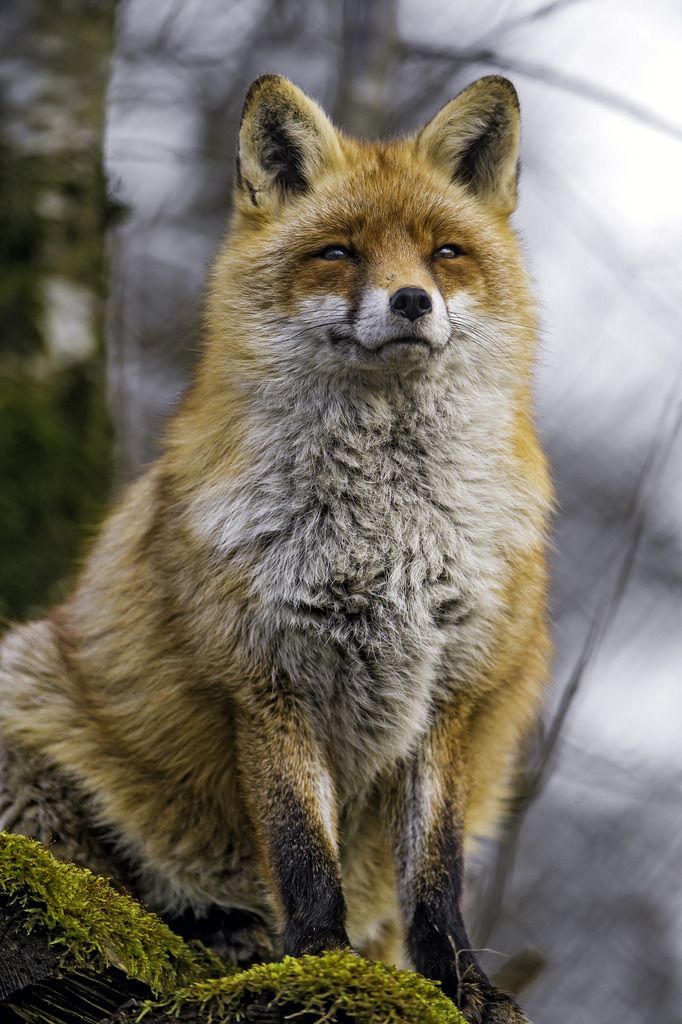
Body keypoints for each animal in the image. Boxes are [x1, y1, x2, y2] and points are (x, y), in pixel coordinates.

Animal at [0, 74, 551, 1022]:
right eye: (338, 253)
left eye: (445, 253)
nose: (412, 301)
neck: (388, 538)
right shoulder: (264, 677)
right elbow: (300, 854)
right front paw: (318, 964)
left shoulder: (452, 691)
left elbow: (435, 880)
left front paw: (459, 984)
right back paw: (221, 933)